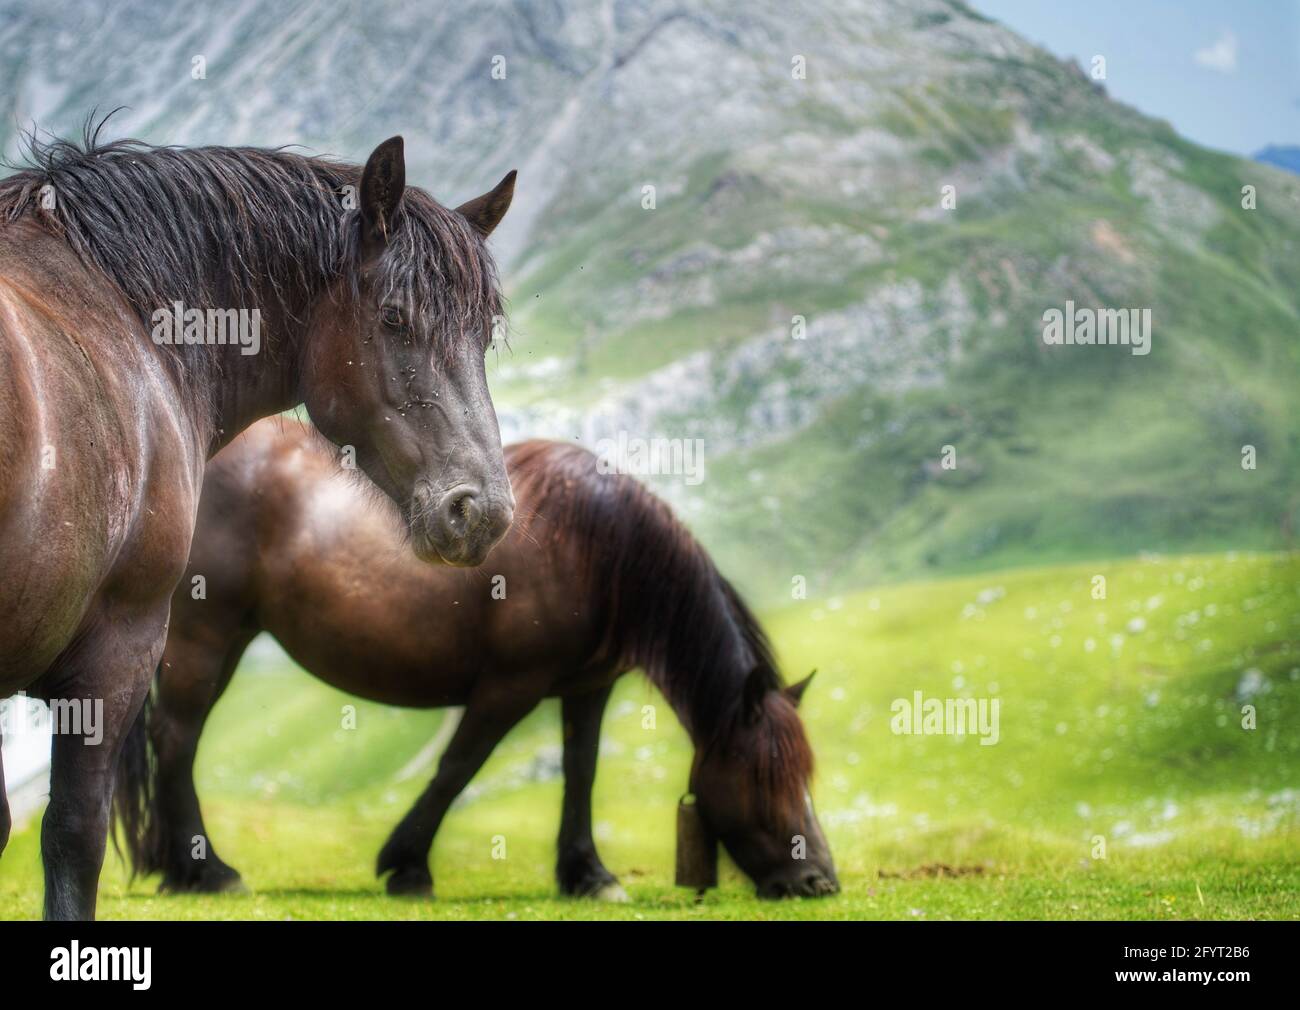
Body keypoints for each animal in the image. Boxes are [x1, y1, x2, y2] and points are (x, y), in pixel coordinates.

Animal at [117, 417, 840, 901]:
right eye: (763, 775)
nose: (819, 881)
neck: (593, 548)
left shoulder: (587, 689)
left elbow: (581, 772)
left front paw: (587, 874)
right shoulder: (509, 688)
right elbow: (457, 768)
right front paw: (406, 865)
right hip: (204, 635)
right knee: (177, 740)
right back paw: (205, 871)